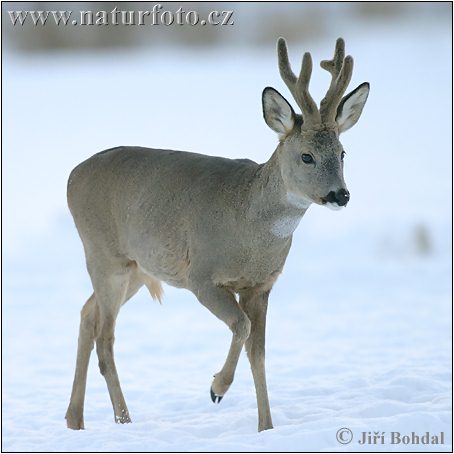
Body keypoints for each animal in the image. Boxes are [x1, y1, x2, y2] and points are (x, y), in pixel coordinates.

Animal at [64, 37, 368, 430]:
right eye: (306, 156)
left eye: (343, 153)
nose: (340, 195)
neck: (249, 227)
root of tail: (71, 176)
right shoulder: (202, 275)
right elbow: (241, 326)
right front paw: (217, 388)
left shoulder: (262, 285)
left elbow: (259, 352)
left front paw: (266, 427)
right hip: (103, 255)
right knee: (105, 337)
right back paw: (123, 419)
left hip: (136, 268)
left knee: (88, 315)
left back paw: (75, 419)